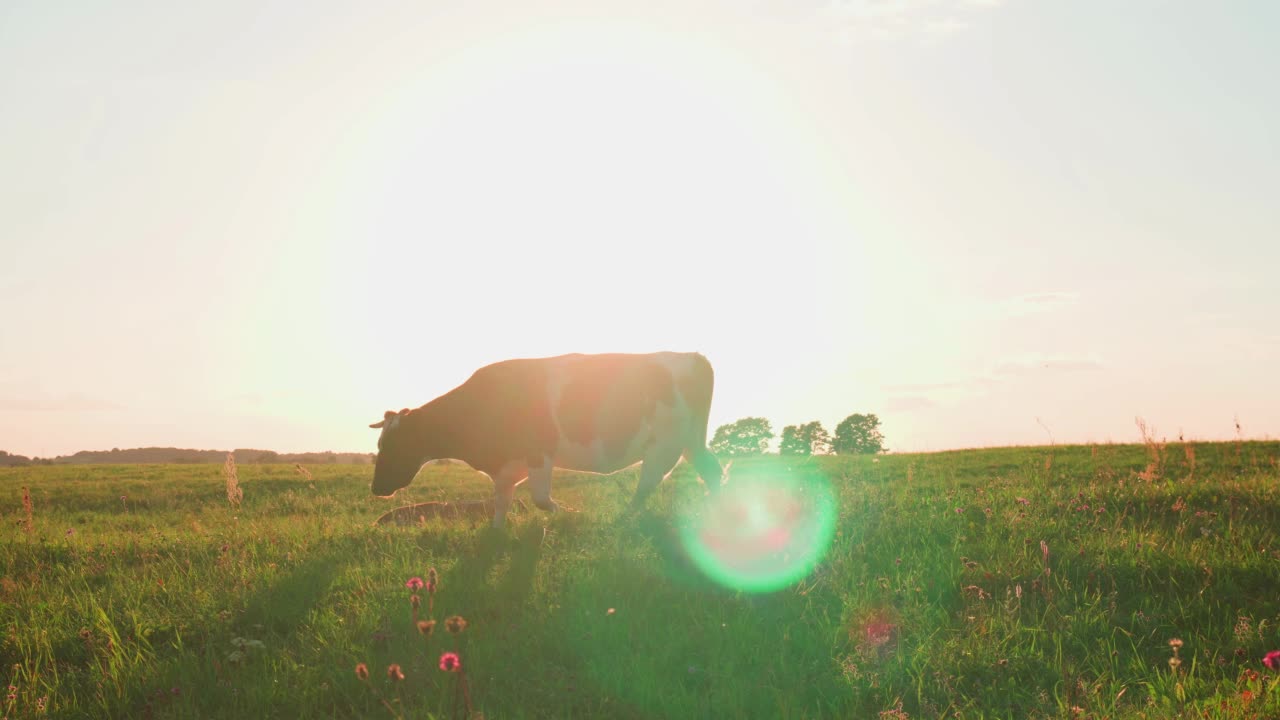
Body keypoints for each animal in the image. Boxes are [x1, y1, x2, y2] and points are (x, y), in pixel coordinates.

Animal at [373, 351, 727, 527]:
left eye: (394, 445)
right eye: (379, 445)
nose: (375, 488)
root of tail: (692, 356)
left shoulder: (539, 453)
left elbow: (541, 499)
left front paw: (573, 515)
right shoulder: (505, 466)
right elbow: (501, 501)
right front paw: (496, 532)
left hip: (665, 443)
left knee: (649, 482)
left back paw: (624, 519)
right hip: (692, 441)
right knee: (712, 470)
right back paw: (715, 514)